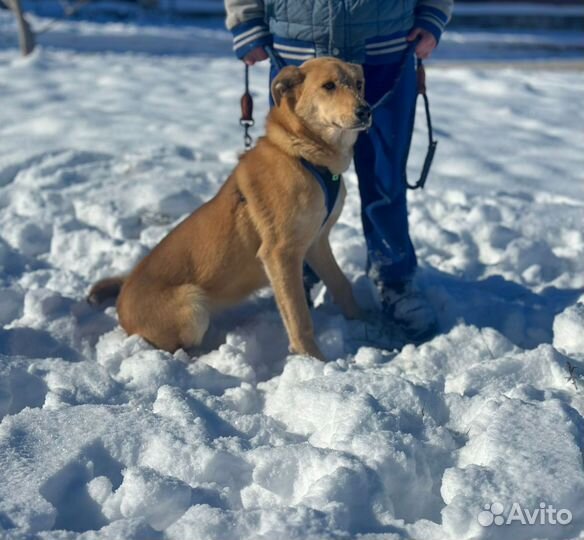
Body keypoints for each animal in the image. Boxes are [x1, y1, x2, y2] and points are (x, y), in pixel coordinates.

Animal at [88, 57, 370, 360]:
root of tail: (123, 295)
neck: (302, 155)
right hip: (192, 305)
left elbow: (341, 284)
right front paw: (313, 361)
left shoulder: (316, 242)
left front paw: (365, 323)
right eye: (328, 86)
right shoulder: (280, 253)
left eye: (358, 84)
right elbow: (298, 317)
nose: (365, 111)